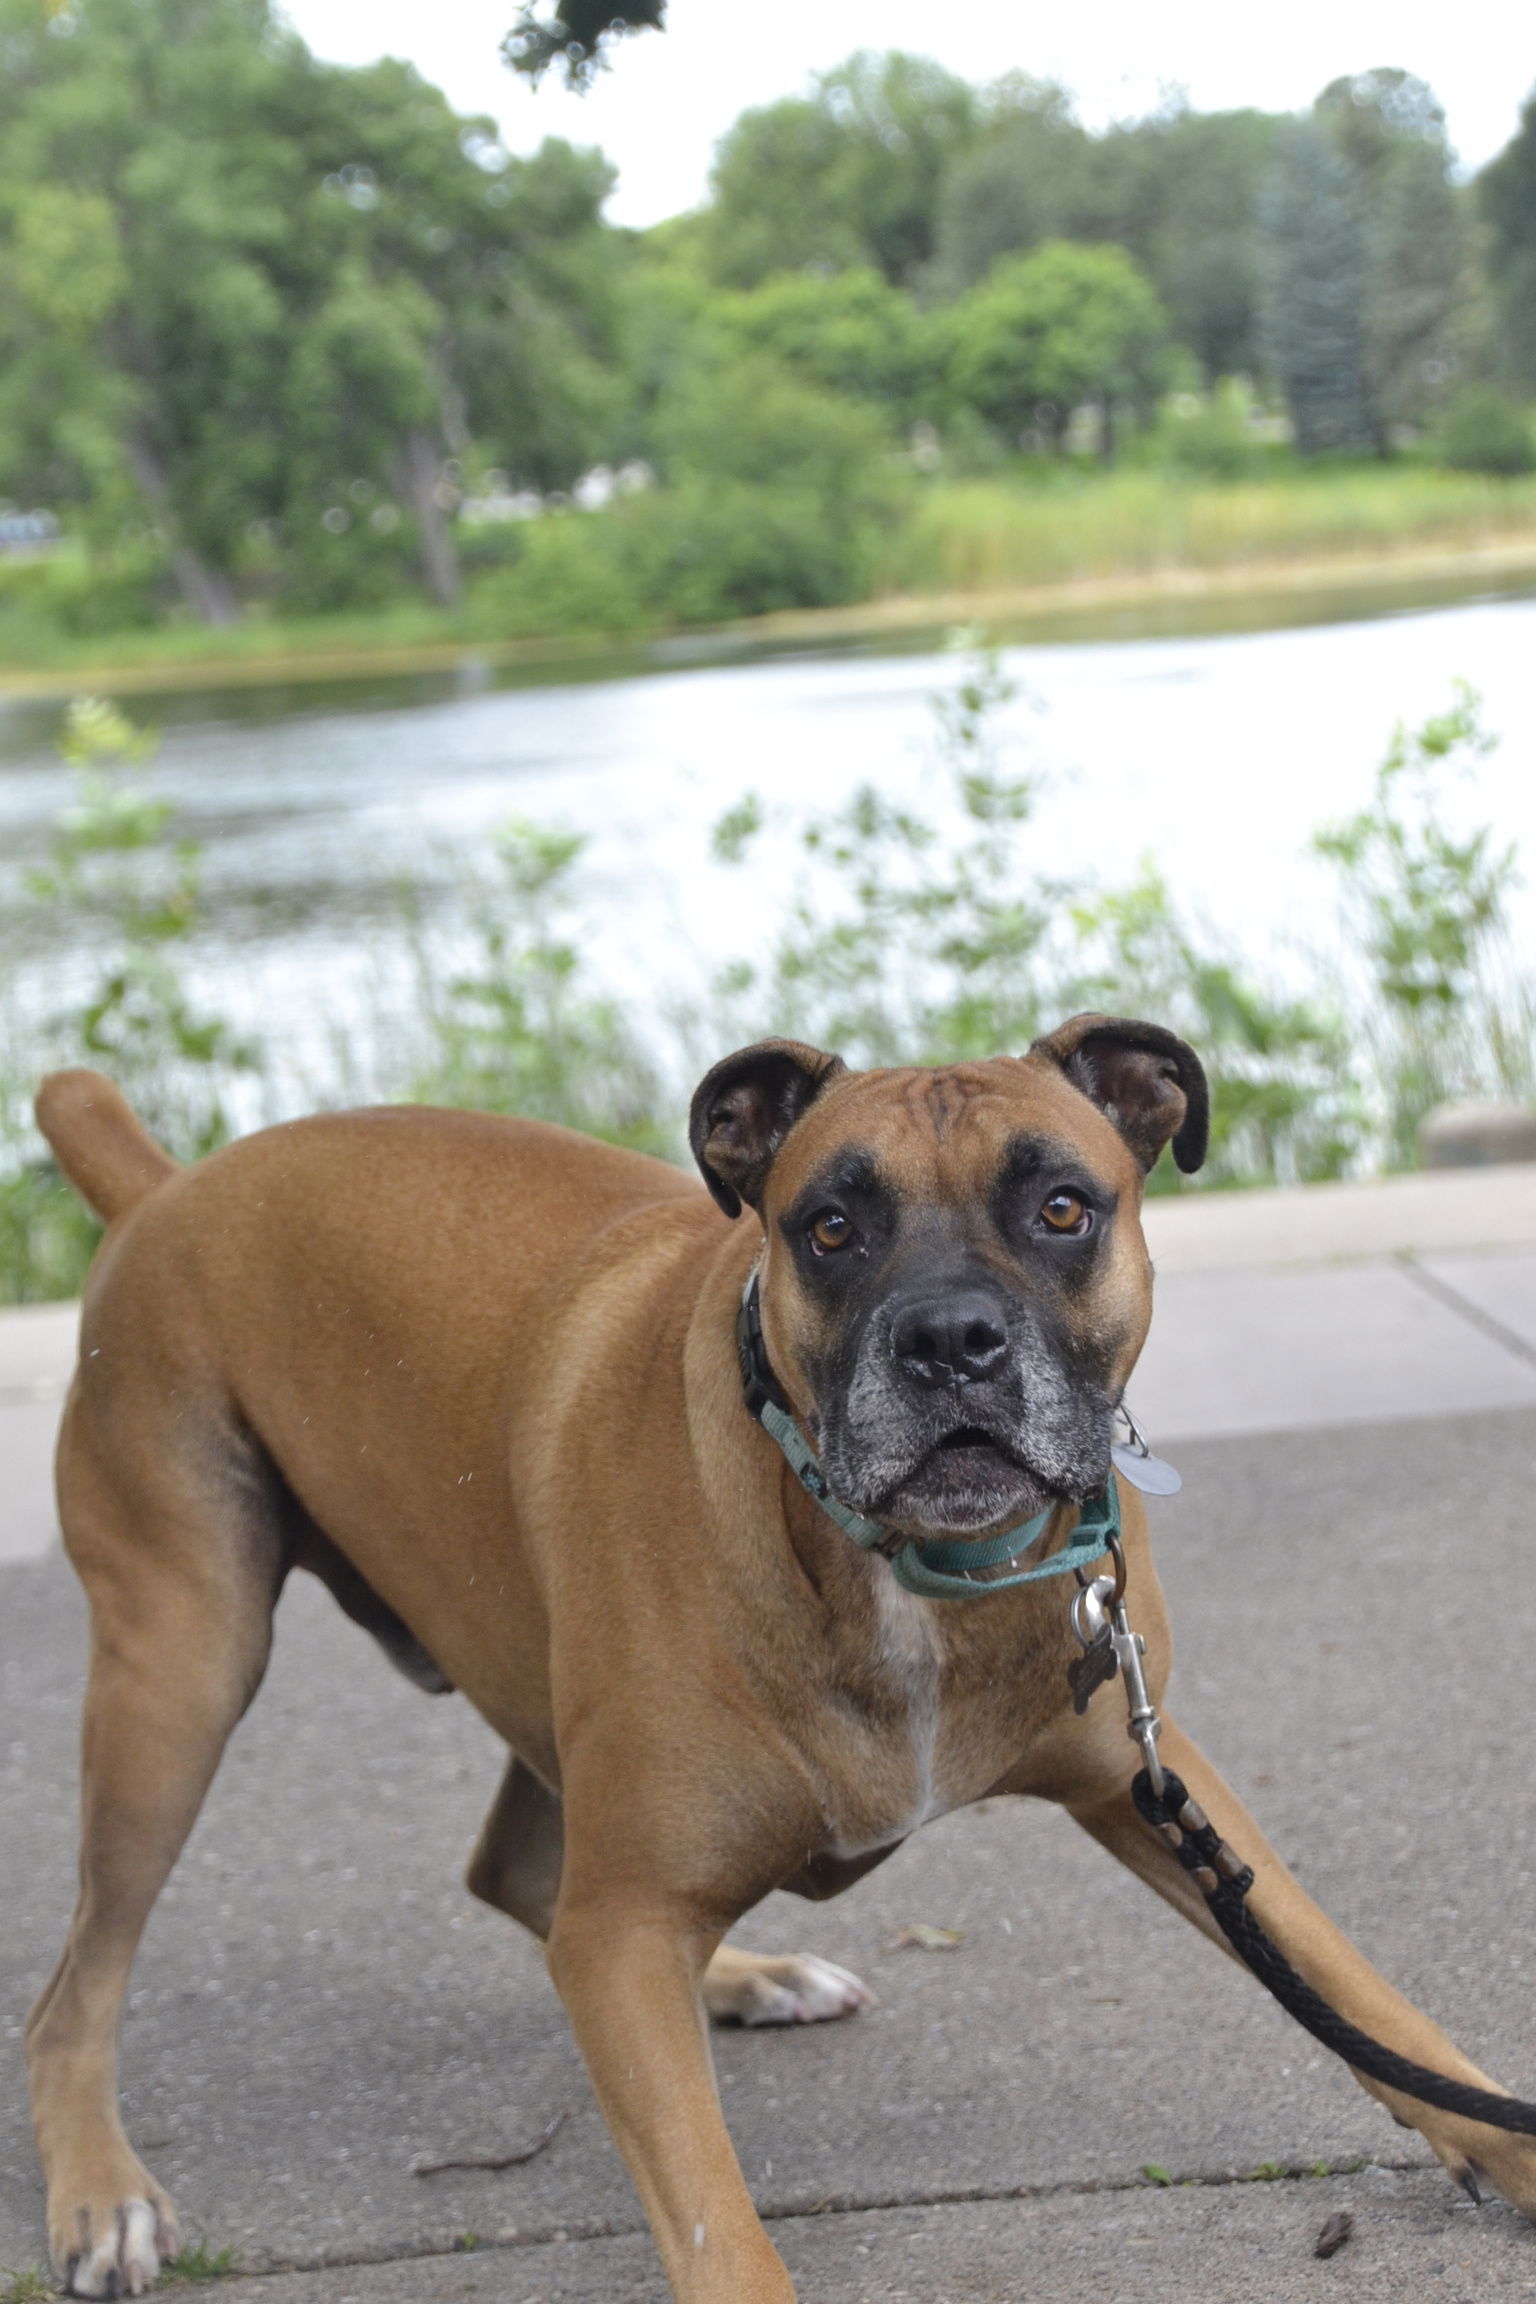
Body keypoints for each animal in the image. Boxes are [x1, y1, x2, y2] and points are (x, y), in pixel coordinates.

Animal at [27, 1018, 1536, 2294]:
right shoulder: (629, 1929)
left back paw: (743, 1976)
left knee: (524, 1877)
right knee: (75, 1994)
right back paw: (101, 2196)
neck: (906, 1570)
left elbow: (1352, 1985)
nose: (950, 1340)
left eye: (1062, 1206)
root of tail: (166, 1187)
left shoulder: (1150, 1783)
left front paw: (1505, 2145)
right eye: (830, 1228)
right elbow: (713, 2216)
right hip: (184, 1672)